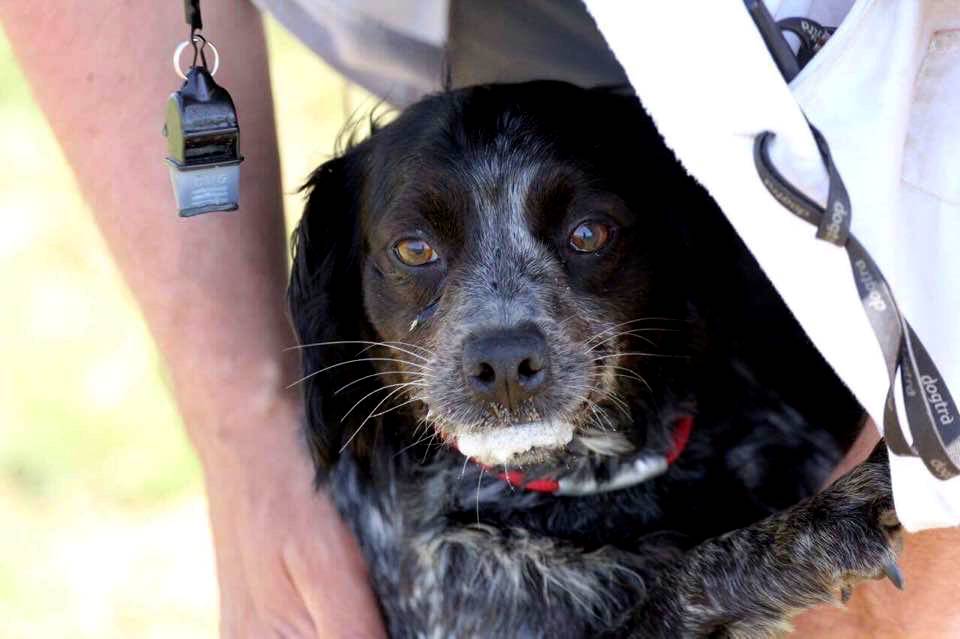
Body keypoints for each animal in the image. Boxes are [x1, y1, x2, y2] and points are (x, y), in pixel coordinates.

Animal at [288, 82, 904, 636]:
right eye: (414, 249)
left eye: (589, 233)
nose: (504, 364)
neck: (587, 483)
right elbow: (686, 575)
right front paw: (820, 527)